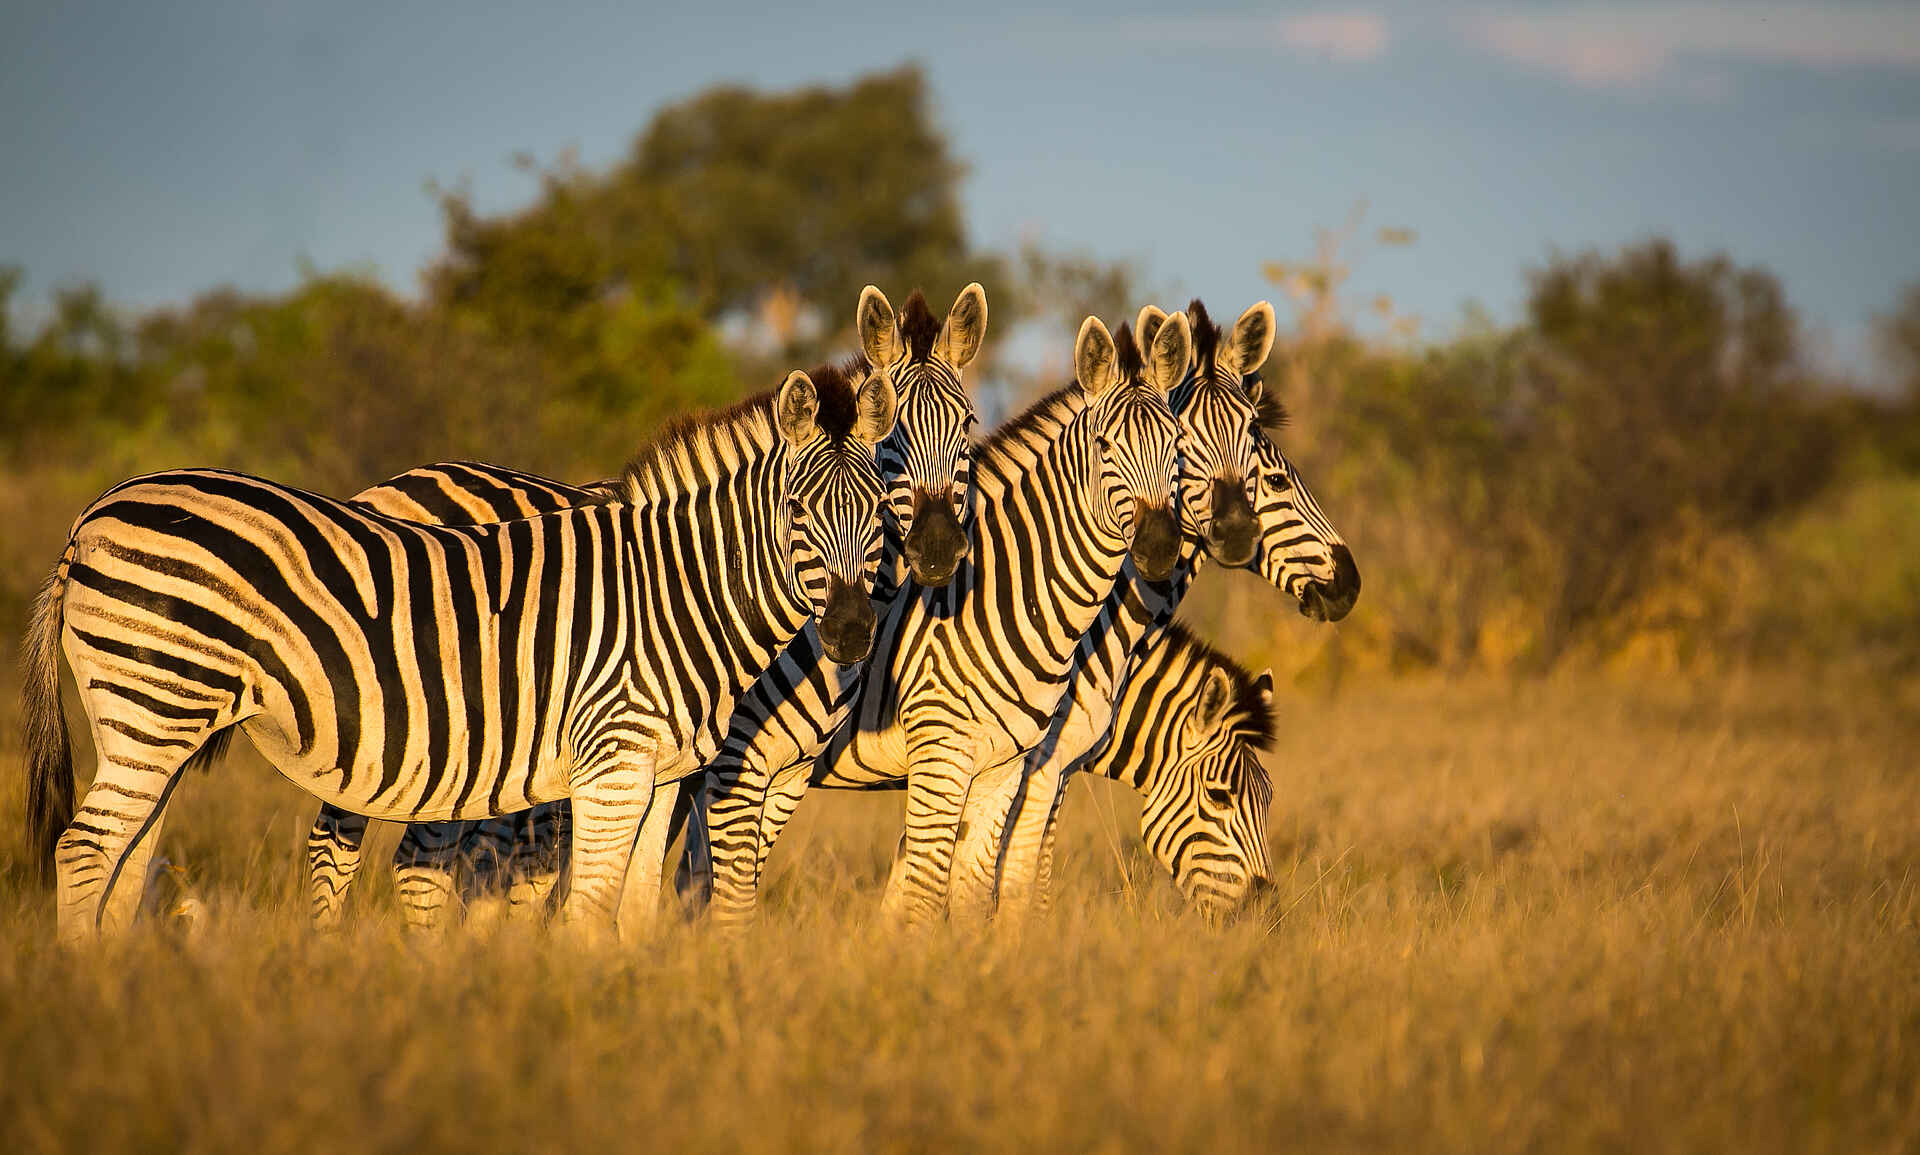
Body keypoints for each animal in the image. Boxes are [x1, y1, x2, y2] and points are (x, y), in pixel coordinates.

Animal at [22, 360, 899, 944]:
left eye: (883, 515)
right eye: (796, 510)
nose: (853, 634)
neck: (678, 590)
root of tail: (90, 519)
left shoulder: (660, 773)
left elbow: (636, 905)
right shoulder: (612, 762)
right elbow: (591, 910)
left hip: (154, 721)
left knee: (128, 857)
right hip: (153, 703)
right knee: (85, 849)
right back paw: (90, 996)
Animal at [302, 284, 987, 931]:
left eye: (970, 426)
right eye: (892, 441)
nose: (937, 550)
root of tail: (390, 484)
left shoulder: (776, 772)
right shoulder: (727, 762)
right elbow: (704, 881)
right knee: (350, 846)